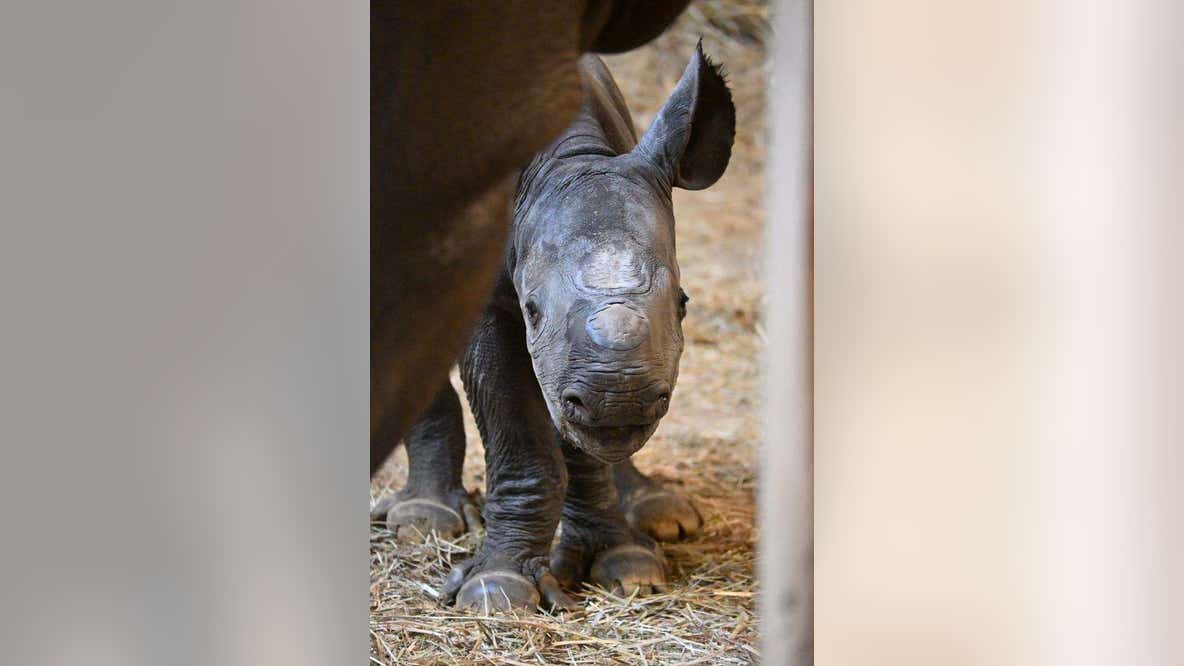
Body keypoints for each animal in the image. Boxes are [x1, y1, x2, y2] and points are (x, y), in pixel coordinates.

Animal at [372, 44, 735, 611]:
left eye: (684, 304)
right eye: (532, 309)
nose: (619, 400)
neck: (570, 158)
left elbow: (583, 442)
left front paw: (625, 563)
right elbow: (519, 430)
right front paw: (498, 591)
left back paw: (660, 512)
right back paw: (423, 521)